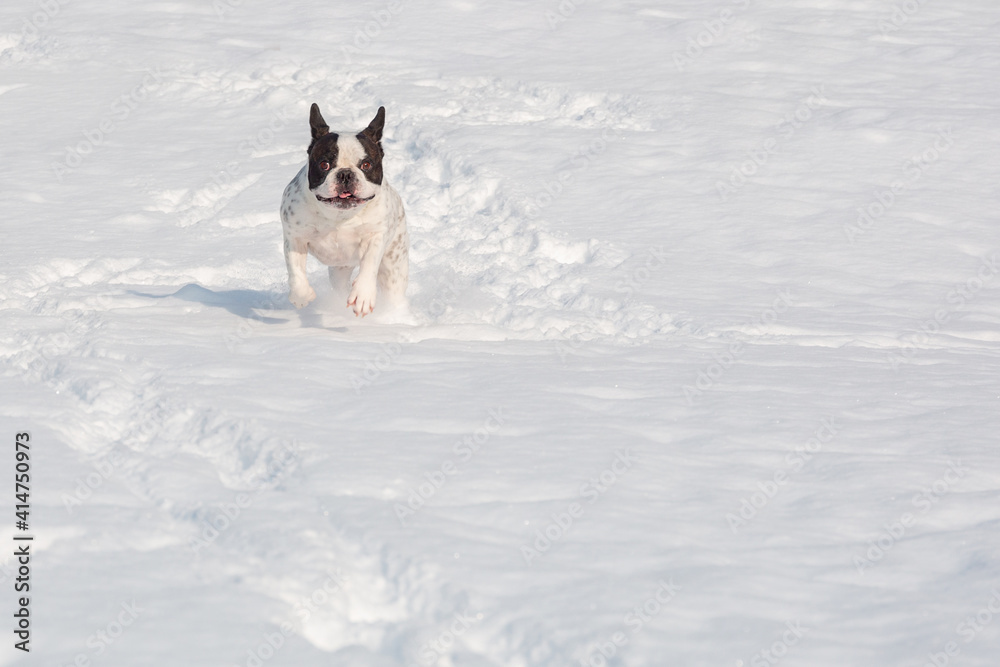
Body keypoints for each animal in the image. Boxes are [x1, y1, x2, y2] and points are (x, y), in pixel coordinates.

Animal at [278, 103, 406, 318]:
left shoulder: (376, 235)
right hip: (339, 270)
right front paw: (301, 296)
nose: (345, 174)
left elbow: (370, 262)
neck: (339, 216)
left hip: (393, 265)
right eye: (324, 164)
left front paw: (363, 295)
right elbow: (295, 271)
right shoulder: (294, 237)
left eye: (366, 165)